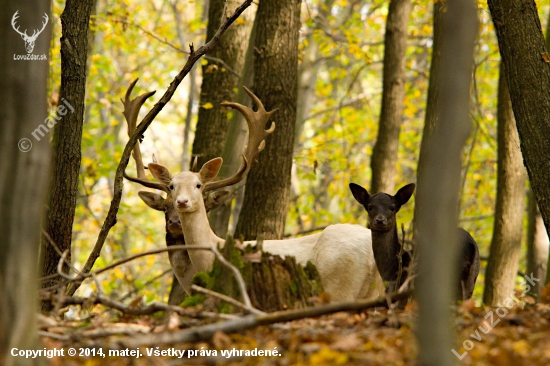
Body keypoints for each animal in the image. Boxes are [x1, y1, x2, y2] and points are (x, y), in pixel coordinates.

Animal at [352, 182, 480, 300]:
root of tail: (471, 245)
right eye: (370, 207)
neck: (391, 272)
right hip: (471, 281)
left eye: (392, 207)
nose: (379, 220)